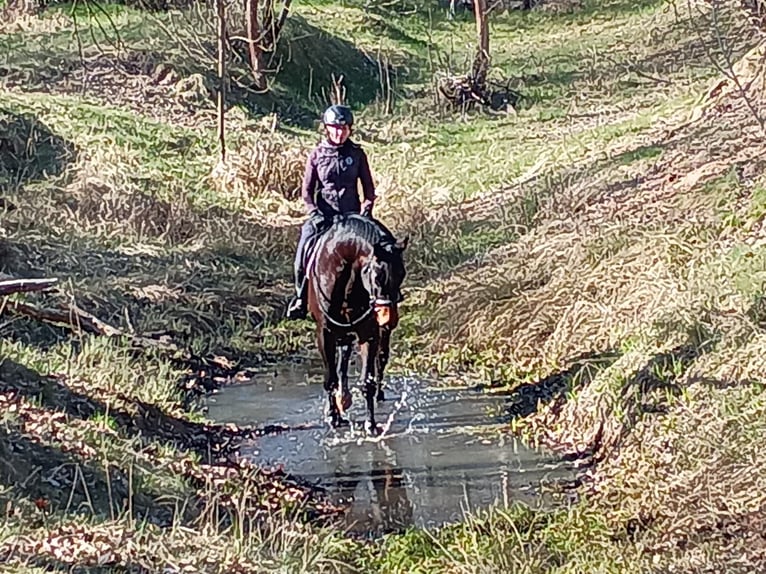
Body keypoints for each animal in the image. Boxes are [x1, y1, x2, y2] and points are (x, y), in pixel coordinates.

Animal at [306, 214, 407, 435]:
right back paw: (340, 403)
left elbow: (367, 380)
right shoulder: (325, 333)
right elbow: (331, 378)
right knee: (340, 365)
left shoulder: (368, 332)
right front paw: (333, 417)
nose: (390, 319)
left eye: (402, 273)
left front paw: (371, 425)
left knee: (377, 359)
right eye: (377, 275)